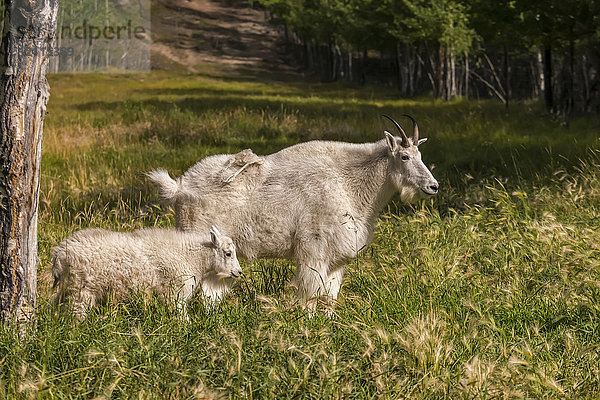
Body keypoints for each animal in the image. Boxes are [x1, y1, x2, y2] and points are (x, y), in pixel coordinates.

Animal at [51, 227, 243, 320]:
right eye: (228, 253)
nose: (239, 272)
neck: (192, 257)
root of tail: (59, 254)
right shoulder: (175, 294)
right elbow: (182, 317)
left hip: (68, 288)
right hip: (81, 290)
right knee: (75, 314)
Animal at [149, 114, 440, 314]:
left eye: (420, 154)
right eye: (404, 156)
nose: (433, 186)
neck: (350, 182)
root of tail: (178, 188)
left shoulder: (336, 258)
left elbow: (330, 296)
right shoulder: (314, 251)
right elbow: (312, 293)